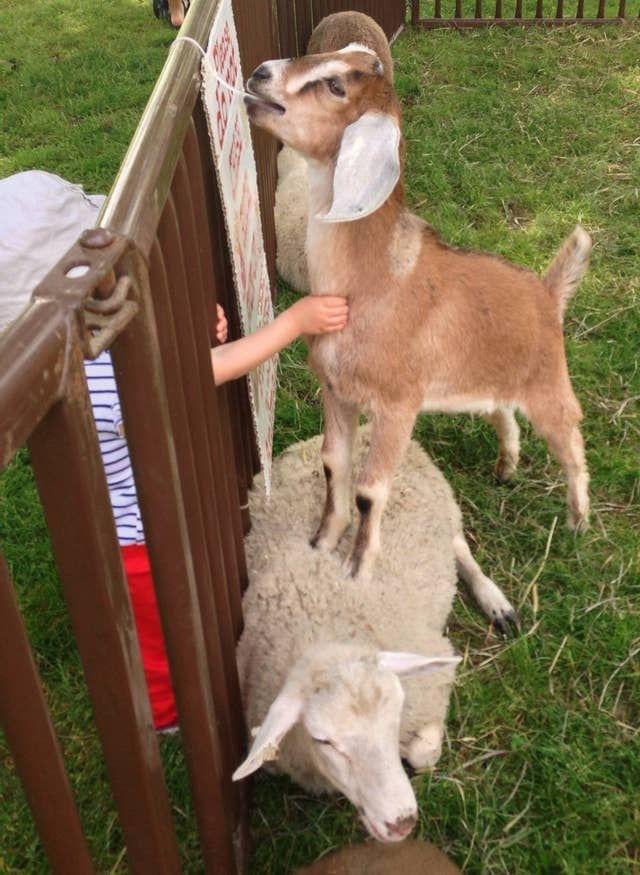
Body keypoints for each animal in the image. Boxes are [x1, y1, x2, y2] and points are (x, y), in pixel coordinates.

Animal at [245, 46, 591, 579]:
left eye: (337, 85)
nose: (260, 73)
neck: (374, 282)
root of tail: (546, 293)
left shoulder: (397, 405)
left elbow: (370, 490)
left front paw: (358, 569)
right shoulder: (337, 392)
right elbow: (333, 464)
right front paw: (323, 542)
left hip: (548, 382)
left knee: (570, 440)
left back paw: (578, 520)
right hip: (489, 380)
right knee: (503, 413)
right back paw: (505, 467)